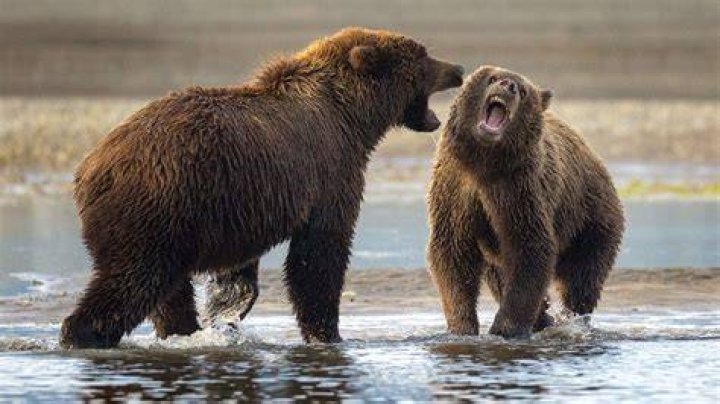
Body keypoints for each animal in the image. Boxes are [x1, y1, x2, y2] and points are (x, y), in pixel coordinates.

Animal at [60, 27, 464, 348]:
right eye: (424, 55)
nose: (458, 69)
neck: (352, 116)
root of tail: (91, 168)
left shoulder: (241, 201)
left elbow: (242, 265)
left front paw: (227, 307)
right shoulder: (330, 170)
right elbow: (319, 254)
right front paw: (327, 334)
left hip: (175, 220)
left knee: (168, 290)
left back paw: (182, 331)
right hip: (156, 208)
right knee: (134, 279)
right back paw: (81, 333)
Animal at [427, 65, 624, 339]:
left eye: (522, 90)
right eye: (493, 78)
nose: (508, 85)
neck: (484, 161)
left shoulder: (519, 189)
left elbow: (530, 247)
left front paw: (505, 328)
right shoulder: (455, 188)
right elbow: (453, 251)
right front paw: (462, 326)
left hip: (591, 219)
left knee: (583, 276)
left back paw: (571, 318)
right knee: (498, 274)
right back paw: (545, 315)